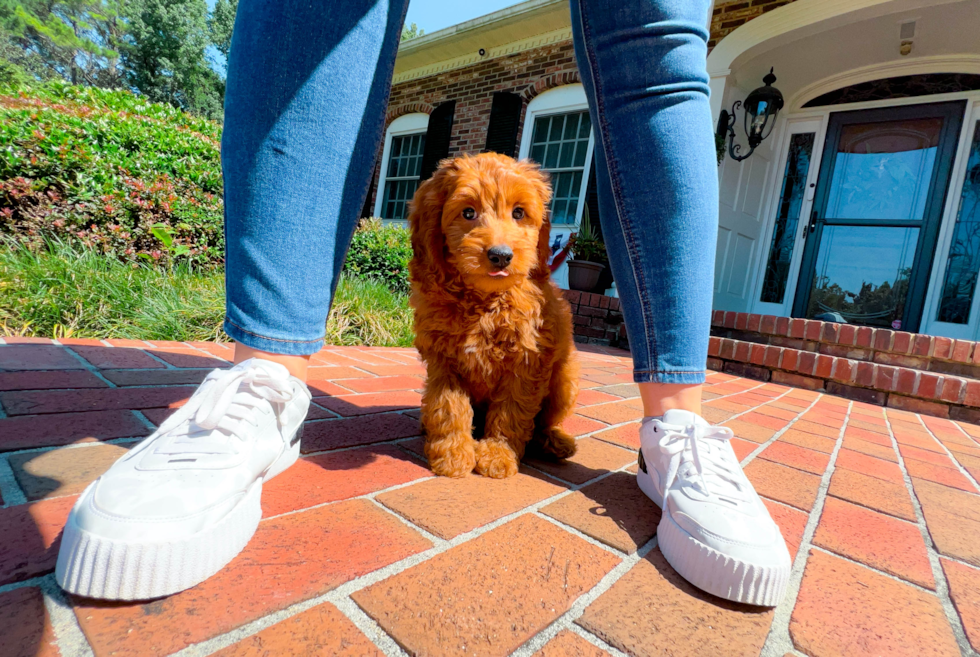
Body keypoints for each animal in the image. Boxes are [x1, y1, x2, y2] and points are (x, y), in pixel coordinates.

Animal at [408, 156, 580, 480]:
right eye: (468, 212)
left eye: (518, 213)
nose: (501, 255)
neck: (485, 301)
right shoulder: (444, 362)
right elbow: (449, 407)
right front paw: (452, 455)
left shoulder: (526, 362)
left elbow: (512, 411)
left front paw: (498, 455)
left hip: (566, 380)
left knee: (543, 422)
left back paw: (554, 442)